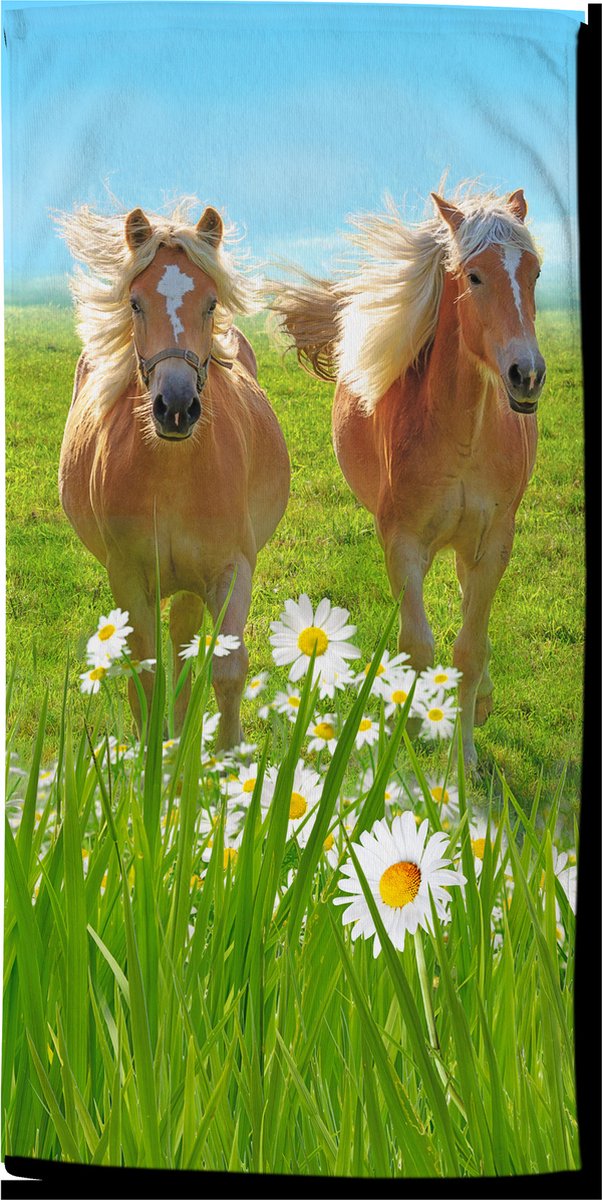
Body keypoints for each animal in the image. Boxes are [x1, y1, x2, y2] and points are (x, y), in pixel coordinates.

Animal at [57, 198, 290, 748]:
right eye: (136, 303)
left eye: (210, 303)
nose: (176, 406)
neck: (173, 475)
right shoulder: (127, 577)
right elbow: (142, 673)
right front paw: (149, 758)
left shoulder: (232, 570)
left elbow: (227, 670)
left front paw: (228, 756)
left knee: (185, 643)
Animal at [270, 184, 545, 768]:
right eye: (474, 276)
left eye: (534, 272)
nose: (527, 374)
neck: (461, 437)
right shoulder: (402, 543)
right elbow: (417, 648)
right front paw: (410, 748)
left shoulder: (494, 543)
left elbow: (470, 649)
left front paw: (463, 759)